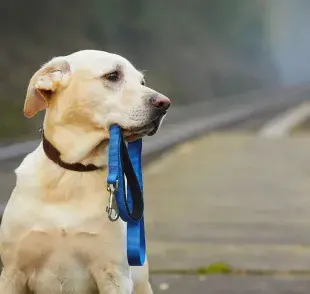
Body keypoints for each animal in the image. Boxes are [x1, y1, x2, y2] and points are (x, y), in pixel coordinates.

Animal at [0, 49, 171, 292]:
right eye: (112, 76)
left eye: (142, 82)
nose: (164, 103)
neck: (74, 171)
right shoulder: (12, 273)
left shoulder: (114, 275)